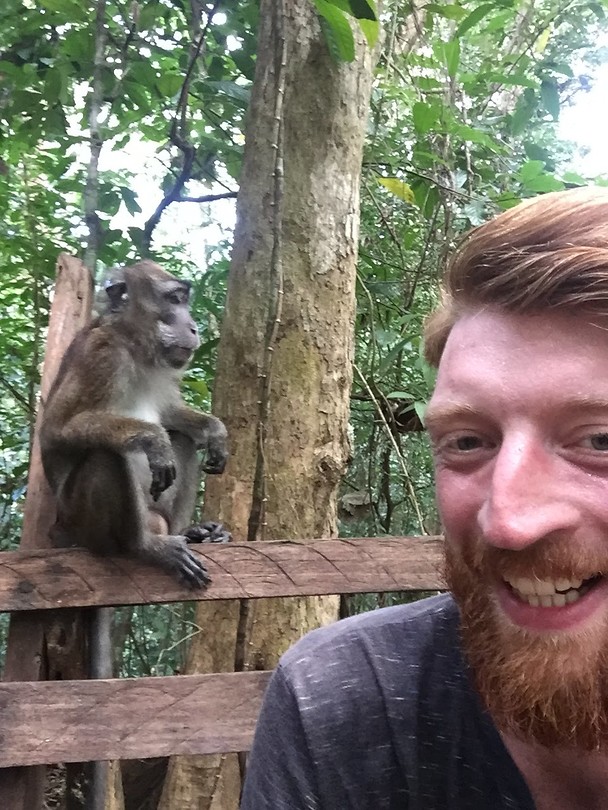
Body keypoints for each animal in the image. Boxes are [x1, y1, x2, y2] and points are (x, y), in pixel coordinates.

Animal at [40, 259, 230, 588]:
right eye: (174, 299)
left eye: (184, 300)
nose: (193, 327)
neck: (134, 347)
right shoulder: (100, 353)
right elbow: (55, 429)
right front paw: (152, 438)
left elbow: (170, 414)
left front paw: (215, 431)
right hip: (82, 524)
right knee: (106, 455)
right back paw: (143, 545)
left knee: (182, 438)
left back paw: (187, 532)